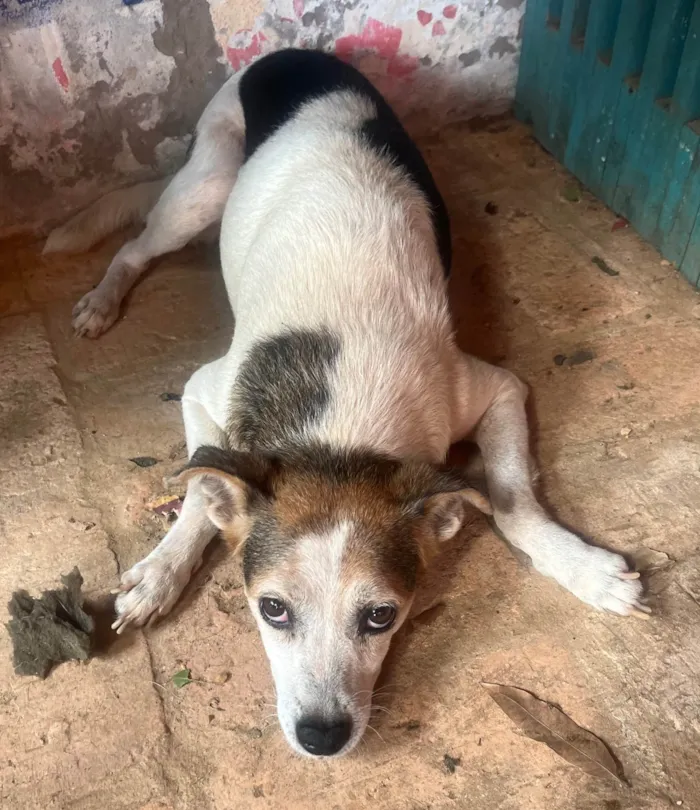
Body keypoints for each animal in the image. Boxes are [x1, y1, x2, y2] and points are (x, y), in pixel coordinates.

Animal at [43, 50, 644, 756]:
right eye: (272, 610)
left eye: (381, 616)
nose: (321, 737)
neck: (338, 434)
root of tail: (293, 53)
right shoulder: (201, 389)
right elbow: (200, 487)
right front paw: (165, 567)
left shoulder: (495, 389)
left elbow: (513, 502)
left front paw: (585, 569)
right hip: (203, 189)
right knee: (136, 245)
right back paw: (102, 301)